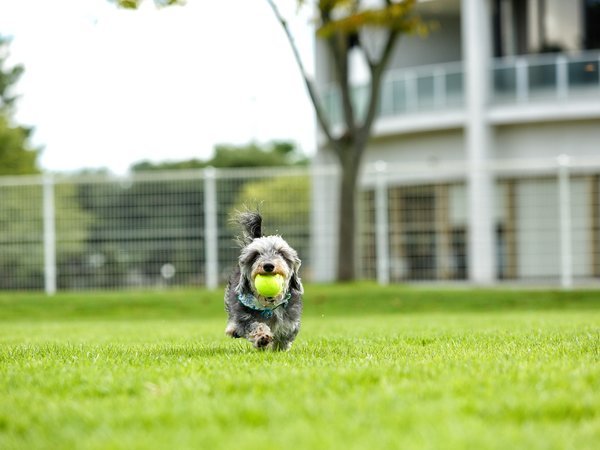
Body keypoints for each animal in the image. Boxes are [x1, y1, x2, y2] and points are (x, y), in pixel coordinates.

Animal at [223, 211, 302, 352]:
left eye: (280, 253)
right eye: (256, 254)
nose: (268, 266)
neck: (268, 306)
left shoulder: (290, 321)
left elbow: (285, 333)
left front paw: (279, 347)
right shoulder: (243, 317)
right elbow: (254, 326)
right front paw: (262, 338)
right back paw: (233, 330)